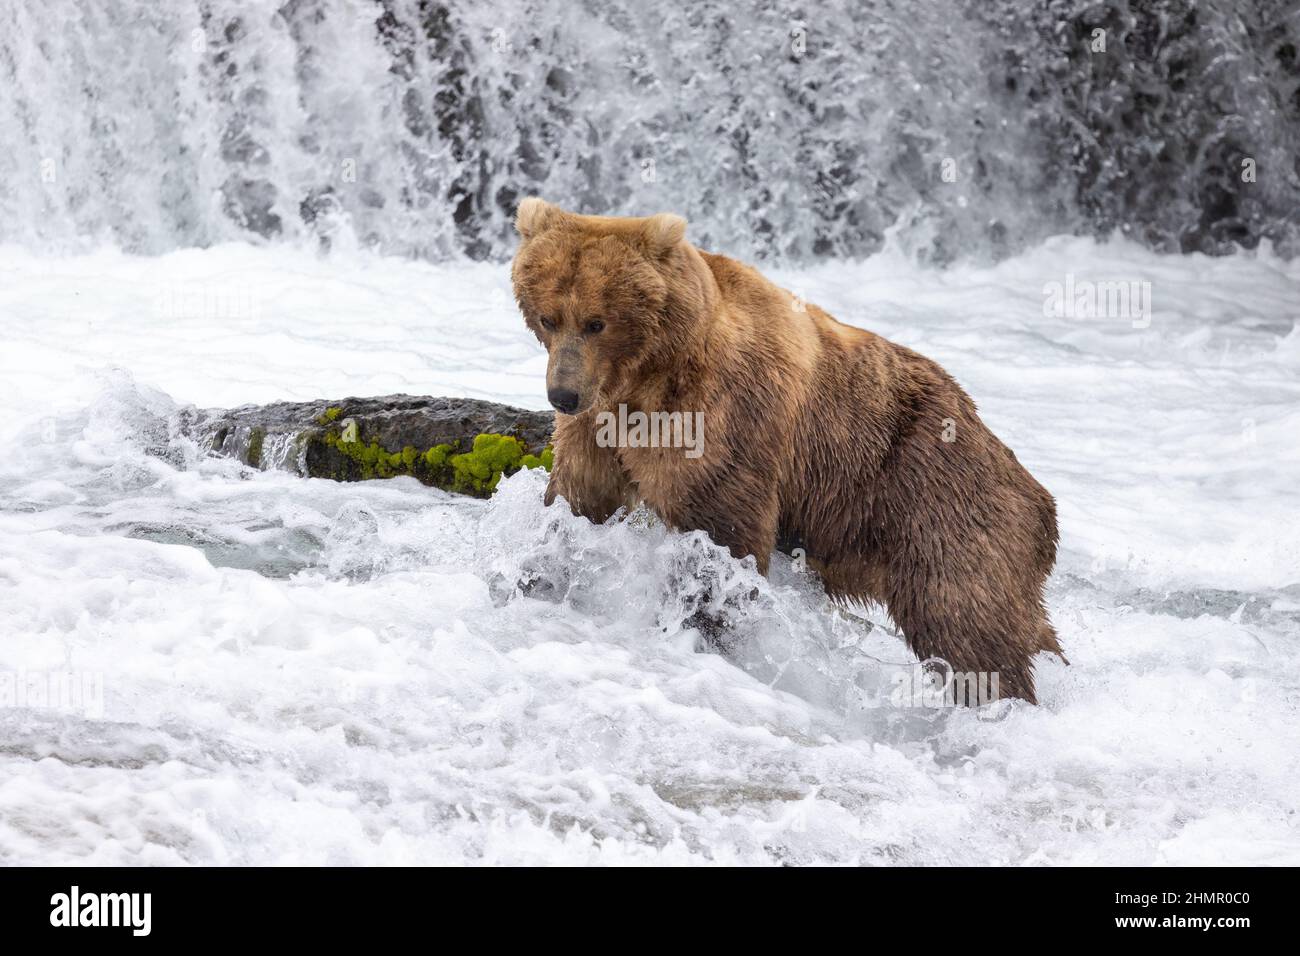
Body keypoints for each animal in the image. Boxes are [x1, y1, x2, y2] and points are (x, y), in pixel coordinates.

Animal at [511, 197, 1063, 703]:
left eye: (597, 322)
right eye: (549, 317)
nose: (562, 394)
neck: (649, 374)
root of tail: (1037, 493)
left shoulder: (723, 416)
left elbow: (720, 535)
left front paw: (706, 624)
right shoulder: (600, 427)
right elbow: (579, 502)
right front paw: (538, 571)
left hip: (937, 504)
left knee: (964, 620)